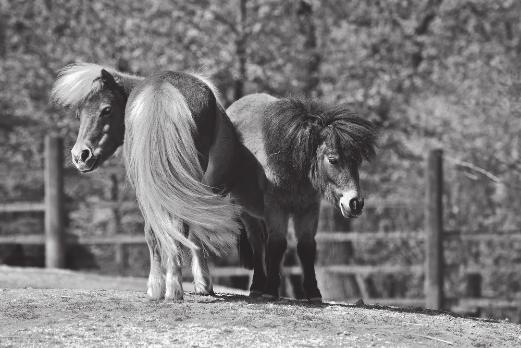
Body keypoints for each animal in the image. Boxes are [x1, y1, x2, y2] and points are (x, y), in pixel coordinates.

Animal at [51, 64, 266, 300]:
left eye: (106, 110)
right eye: (79, 114)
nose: (80, 156)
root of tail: (162, 89)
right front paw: (200, 283)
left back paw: (164, 287)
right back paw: (170, 287)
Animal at [225, 94, 376, 300]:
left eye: (357, 161)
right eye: (333, 159)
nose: (355, 203)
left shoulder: (308, 209)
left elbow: (306, 247)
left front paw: (313, 292)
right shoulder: (276, 208)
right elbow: (277, 244)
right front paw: (271, 289)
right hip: (247, 211)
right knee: (258, 243)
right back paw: (258, 285)